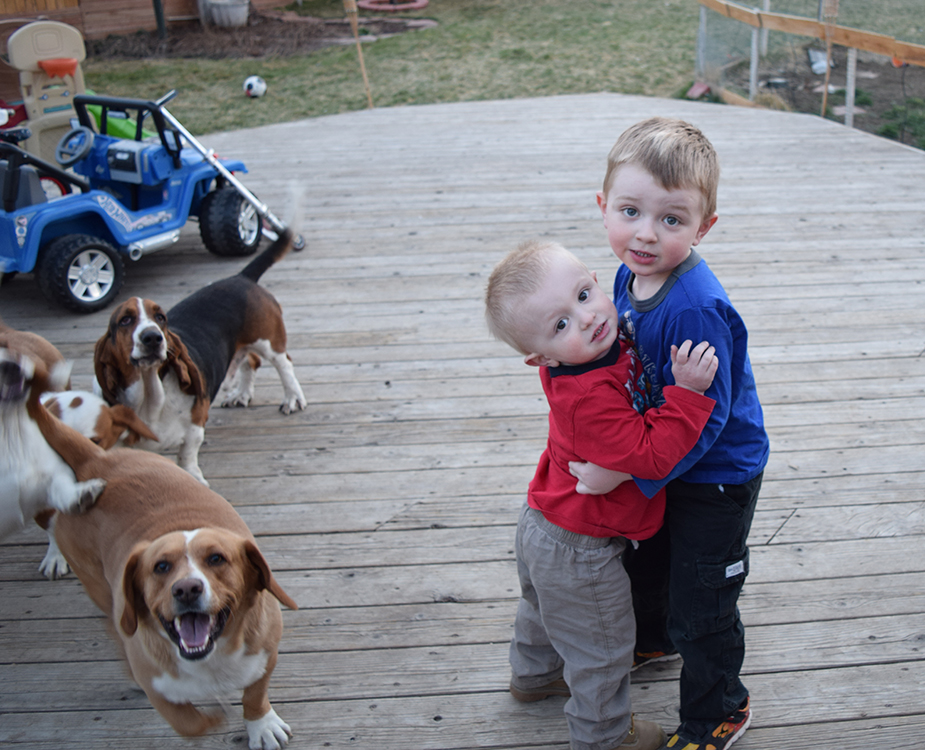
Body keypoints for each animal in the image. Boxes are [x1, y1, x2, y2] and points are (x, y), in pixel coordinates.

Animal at [34, 406, 296, 750]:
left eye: (217, 558)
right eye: (160, 567)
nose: (186, 589)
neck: (212, 655)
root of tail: (95, 459)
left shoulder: (266, 655)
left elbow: (255, 694)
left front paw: (261, 725)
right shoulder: (158, 687)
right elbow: (188, 721)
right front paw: (215, 717)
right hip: (99, 586)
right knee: (115, 619)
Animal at [93, 231, 304, 488]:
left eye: (161, 317)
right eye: (125, 320)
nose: (152, 337)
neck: (150, 394)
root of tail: (242, 277)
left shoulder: (195, 424)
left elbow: (187, 454)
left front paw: (193, 478)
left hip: (268, 341)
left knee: (284, 364)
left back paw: (292, 398)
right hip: (241, 345)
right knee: (251, 361)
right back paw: (242, 394)